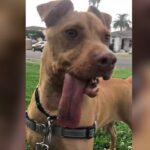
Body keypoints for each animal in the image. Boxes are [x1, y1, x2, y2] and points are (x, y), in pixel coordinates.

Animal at [25, 0, 131, 149]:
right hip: (109, 122)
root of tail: (126, 80)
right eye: (71, 32)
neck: (53, 111)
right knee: (114, 134)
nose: (111, 60)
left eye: (107, 37)